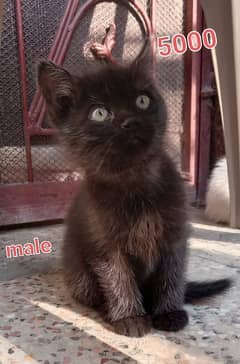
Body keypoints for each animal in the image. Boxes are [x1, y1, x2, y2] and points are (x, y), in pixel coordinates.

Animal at [37, 49, 231, 336]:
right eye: (99, 113)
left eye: (142, 100)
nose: (130, 121)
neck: (136, 180)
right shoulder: (104, 242)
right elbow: (117, 276)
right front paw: (129, 317)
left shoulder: (175, 233)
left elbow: (171, 274)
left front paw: (168, 312)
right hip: (79, 274)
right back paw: (109, 312)